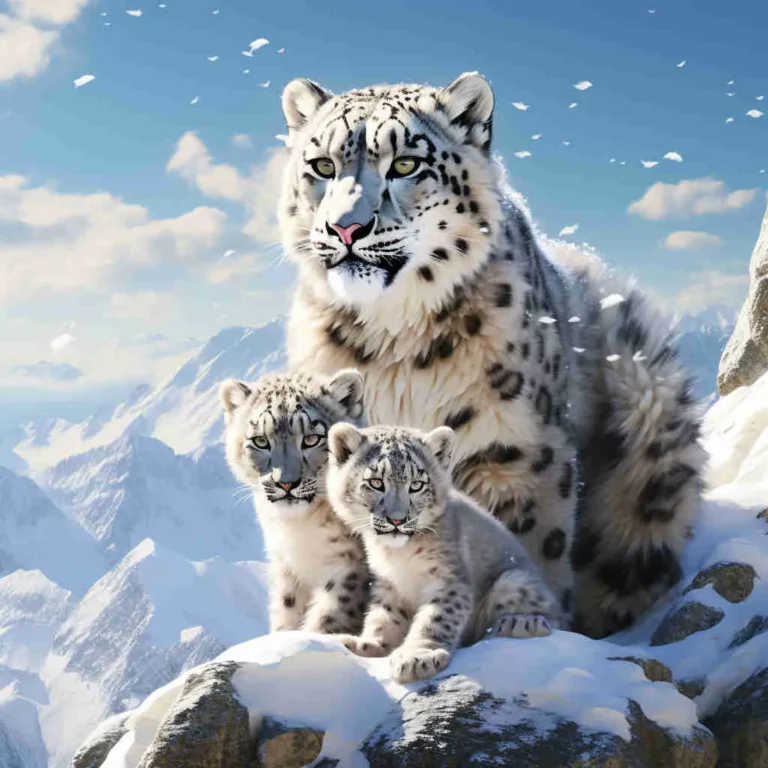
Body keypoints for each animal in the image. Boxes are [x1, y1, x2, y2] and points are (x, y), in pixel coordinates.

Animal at [220, 368, 370, 636]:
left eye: (311, 439)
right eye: (260, 441)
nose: (286, 483)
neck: (298, 528)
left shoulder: (350, 568)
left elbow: (329, 620)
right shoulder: (286, 567)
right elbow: (287, 609)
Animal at [277, 71, 706, 638]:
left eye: (406, 164)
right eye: (322, 166)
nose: (346, 228)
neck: (389, 341)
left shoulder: (517, 451)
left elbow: (525, 541)